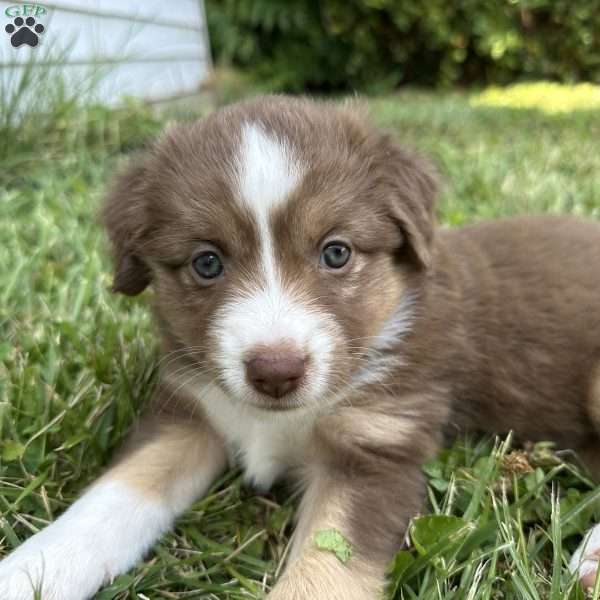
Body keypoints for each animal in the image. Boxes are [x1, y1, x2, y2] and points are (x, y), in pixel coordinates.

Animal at [1, 96, 600, 596]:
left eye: (336, 252)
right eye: (206, 262)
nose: (275, 372)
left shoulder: (373, 450)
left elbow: (326, 568)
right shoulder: (188, 414)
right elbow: (111, 499)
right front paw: (31, 571)